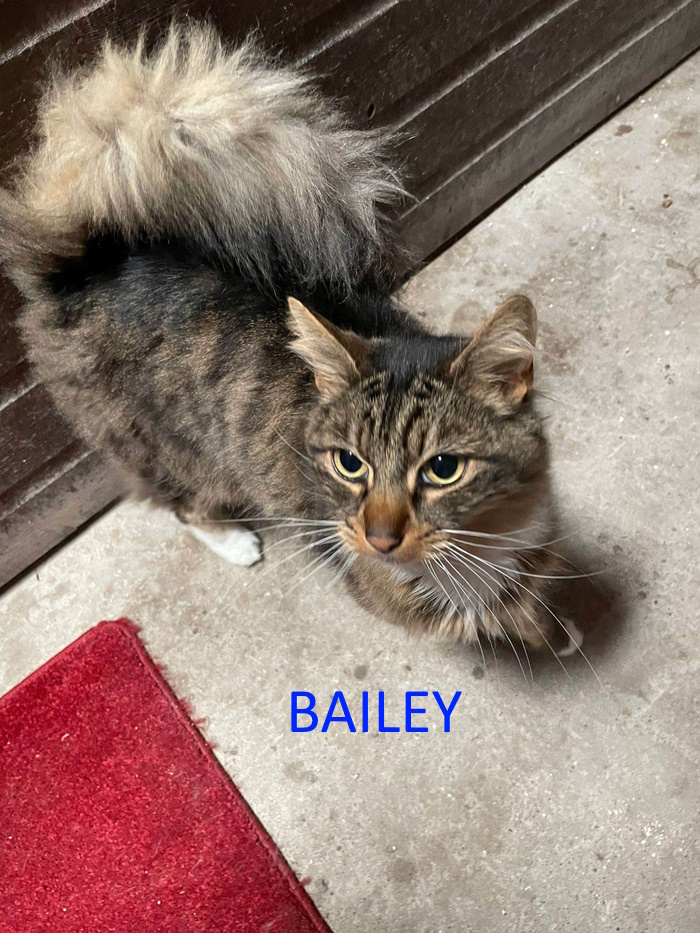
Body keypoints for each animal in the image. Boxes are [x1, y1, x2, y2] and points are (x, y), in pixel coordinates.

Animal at [0, 24, 581, 657]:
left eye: (443, 468)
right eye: (350, 464)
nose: (379, 538)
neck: (484, 536)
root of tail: (84, 264)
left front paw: (560, 625)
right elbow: (488, 612)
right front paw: (548, 632)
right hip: (171, 447)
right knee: (183, 505)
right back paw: (236, 542)